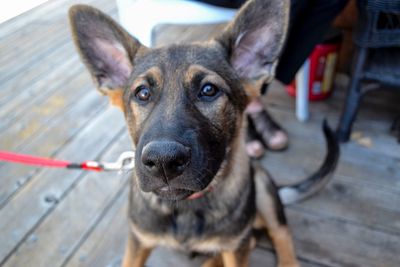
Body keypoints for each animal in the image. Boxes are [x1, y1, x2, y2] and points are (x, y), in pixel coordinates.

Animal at [68, 1, 338, 266]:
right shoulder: (138, 240)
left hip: (261, 188)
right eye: (142, 93)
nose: (163, 162)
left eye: (209, 90)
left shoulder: (235, 246)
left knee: (279, 233)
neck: (185, 208)